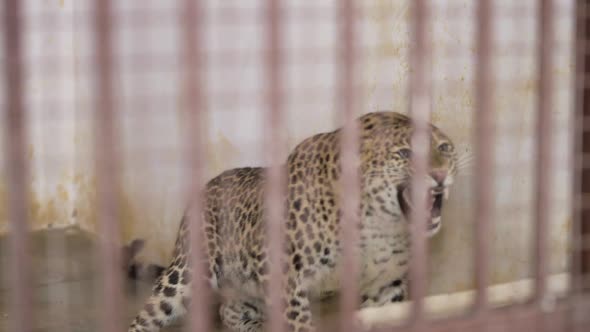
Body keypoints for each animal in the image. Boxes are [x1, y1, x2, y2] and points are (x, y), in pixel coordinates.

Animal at [127, 112, 462, 332]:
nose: (440, 175)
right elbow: (296, 320)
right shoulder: (281, 270)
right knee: (149, 313)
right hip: (187, 272)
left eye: (445, 148)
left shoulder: (385, 287)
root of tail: (207, 185)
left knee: (228, 310)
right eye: (404, 153)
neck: (378, 226)